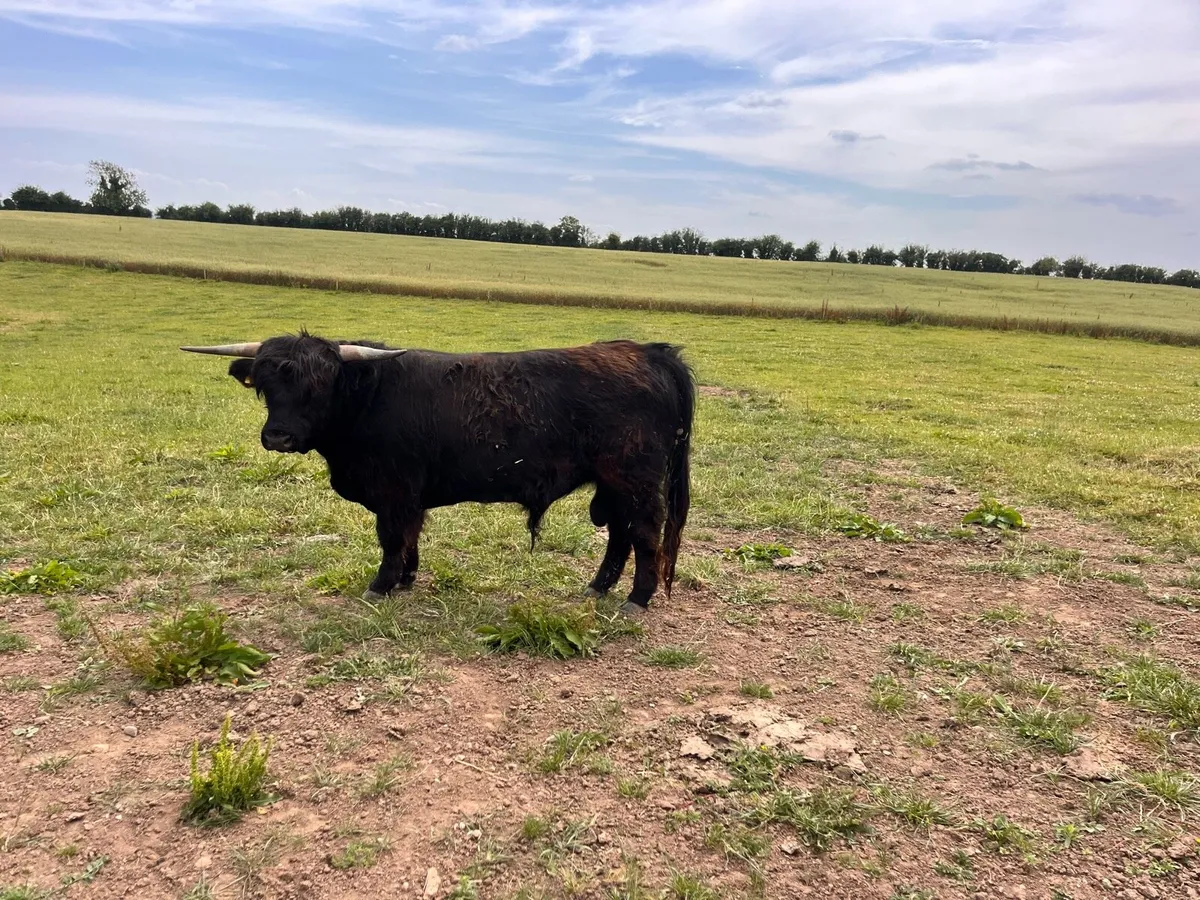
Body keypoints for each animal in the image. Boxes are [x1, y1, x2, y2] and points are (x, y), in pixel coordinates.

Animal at [181, 332, 695, 613]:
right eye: (265, 385)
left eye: (319, 385)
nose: (279, 437)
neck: (368, 396)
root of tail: (648, 352)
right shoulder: (408, 496)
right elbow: (410, 536)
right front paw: (406, 578)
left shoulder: (394, 491)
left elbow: (392, 538)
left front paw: (381, 585)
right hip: (615, 484)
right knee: (621, 534)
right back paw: (597, 588)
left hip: (635, 481)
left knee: (644, 534)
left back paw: (637, 598)